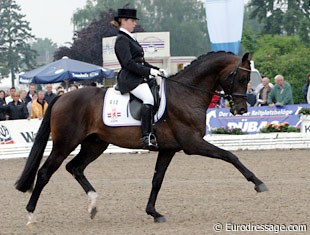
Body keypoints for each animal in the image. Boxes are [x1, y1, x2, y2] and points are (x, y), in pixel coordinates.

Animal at [15, 51, 266, 224]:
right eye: (241, 78)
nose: (241, 109)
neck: (187, 92)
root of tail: (60, 97)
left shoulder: (168, 149)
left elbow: (157, 180)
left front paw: (154, 213)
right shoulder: (192, 144)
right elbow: (230, 156)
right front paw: (258, 183)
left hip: (95, 144)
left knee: (75, 167)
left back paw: (93, 206)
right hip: (65, 144)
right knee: (45, 173)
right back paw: (30, 216)